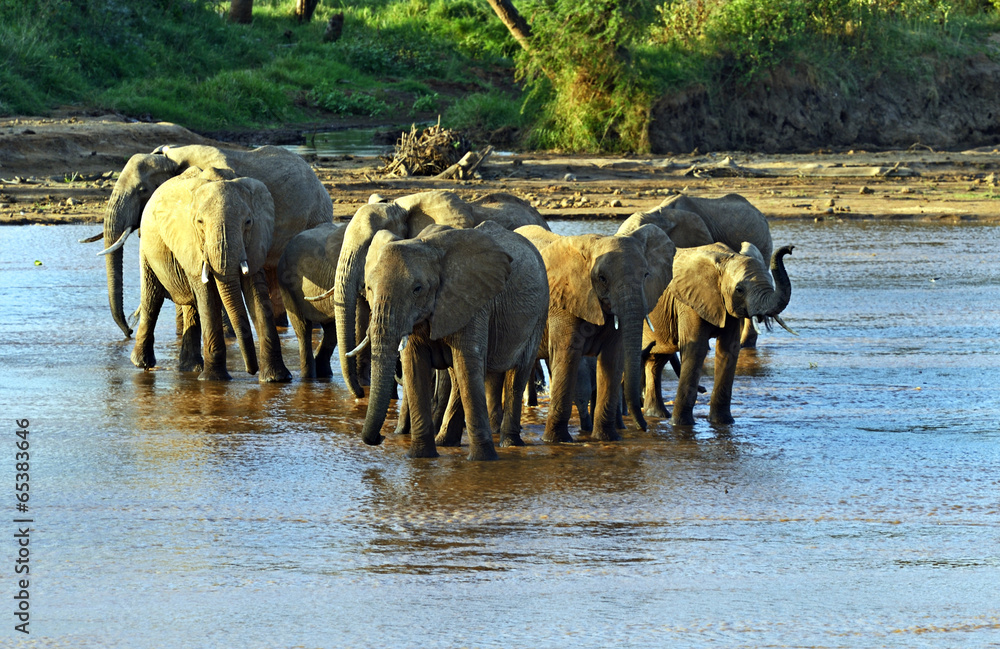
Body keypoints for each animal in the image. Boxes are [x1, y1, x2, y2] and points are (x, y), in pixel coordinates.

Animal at [130, 166, 292, 383]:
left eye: (248, 222)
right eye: (200, 222)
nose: (251, 370)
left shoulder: (257, 240)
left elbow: (257, 293)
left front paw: (276, 379)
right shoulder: (191, 242)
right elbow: (208, 295)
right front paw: (214, 380)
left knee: (190, 305)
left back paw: (191, 368)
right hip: (147, 249)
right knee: (152, 299)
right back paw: (142, 363)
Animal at [359, 221, 549, 461]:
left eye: (417, 289)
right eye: (369, 288)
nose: (380, 438)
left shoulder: (473, 301)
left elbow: (468, 365)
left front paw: (483, 460)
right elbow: (415, 367)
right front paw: (420, 457)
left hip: (539, 311)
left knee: (517, 372)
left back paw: (510, 444)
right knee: (456, 376)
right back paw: (446, 442)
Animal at [516, 223, 675, 443]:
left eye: (646, 275)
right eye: (602, 279)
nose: (644, 428)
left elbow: (612, 358)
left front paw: (607, 438)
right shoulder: (563, 303)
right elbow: (567, 357)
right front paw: (557, 441)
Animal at [642, 242, 794, 425]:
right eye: (739, 290)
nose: (790, 248)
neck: (726, 259)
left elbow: (728, 350)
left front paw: (723, 422)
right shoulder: (688, 303)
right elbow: (696, 350)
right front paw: (681, 424)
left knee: (656, 361)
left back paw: (657, 415)